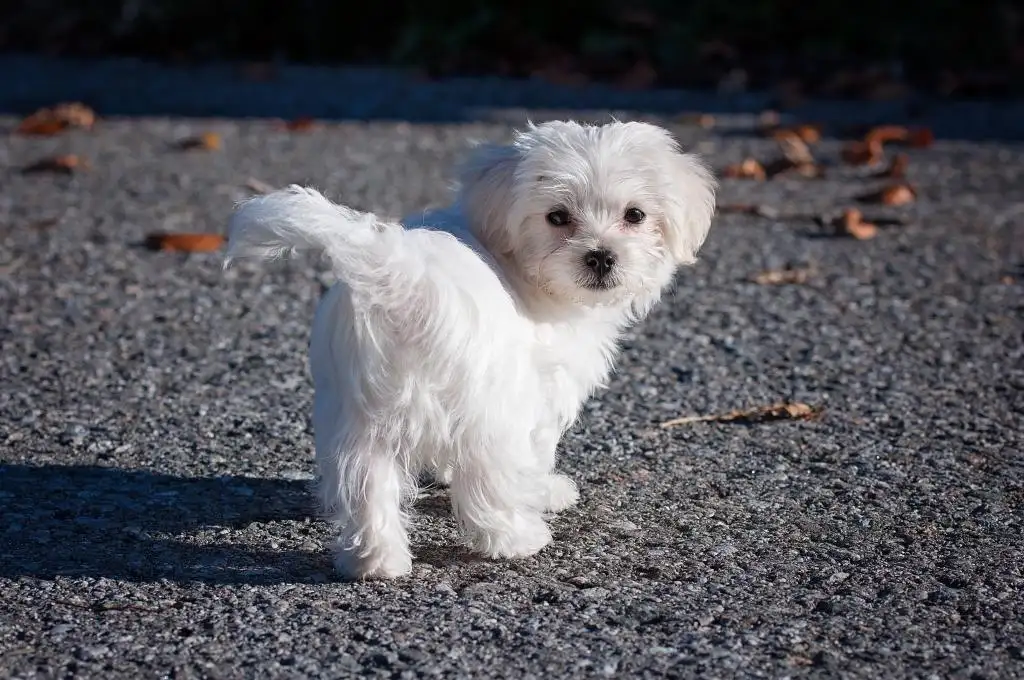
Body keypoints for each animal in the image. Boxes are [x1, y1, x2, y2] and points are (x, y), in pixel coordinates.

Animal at [225, 120, 720, 577]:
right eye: (557, 217)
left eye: (635, 215)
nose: (601, 256)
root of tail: (403, 279)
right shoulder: (540, 390)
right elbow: (536, 451)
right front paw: (545, 491)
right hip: (488, 407)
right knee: (487, 482)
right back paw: (517, 538)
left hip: (359, 415)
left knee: (366, 484)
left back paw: (375, 561)